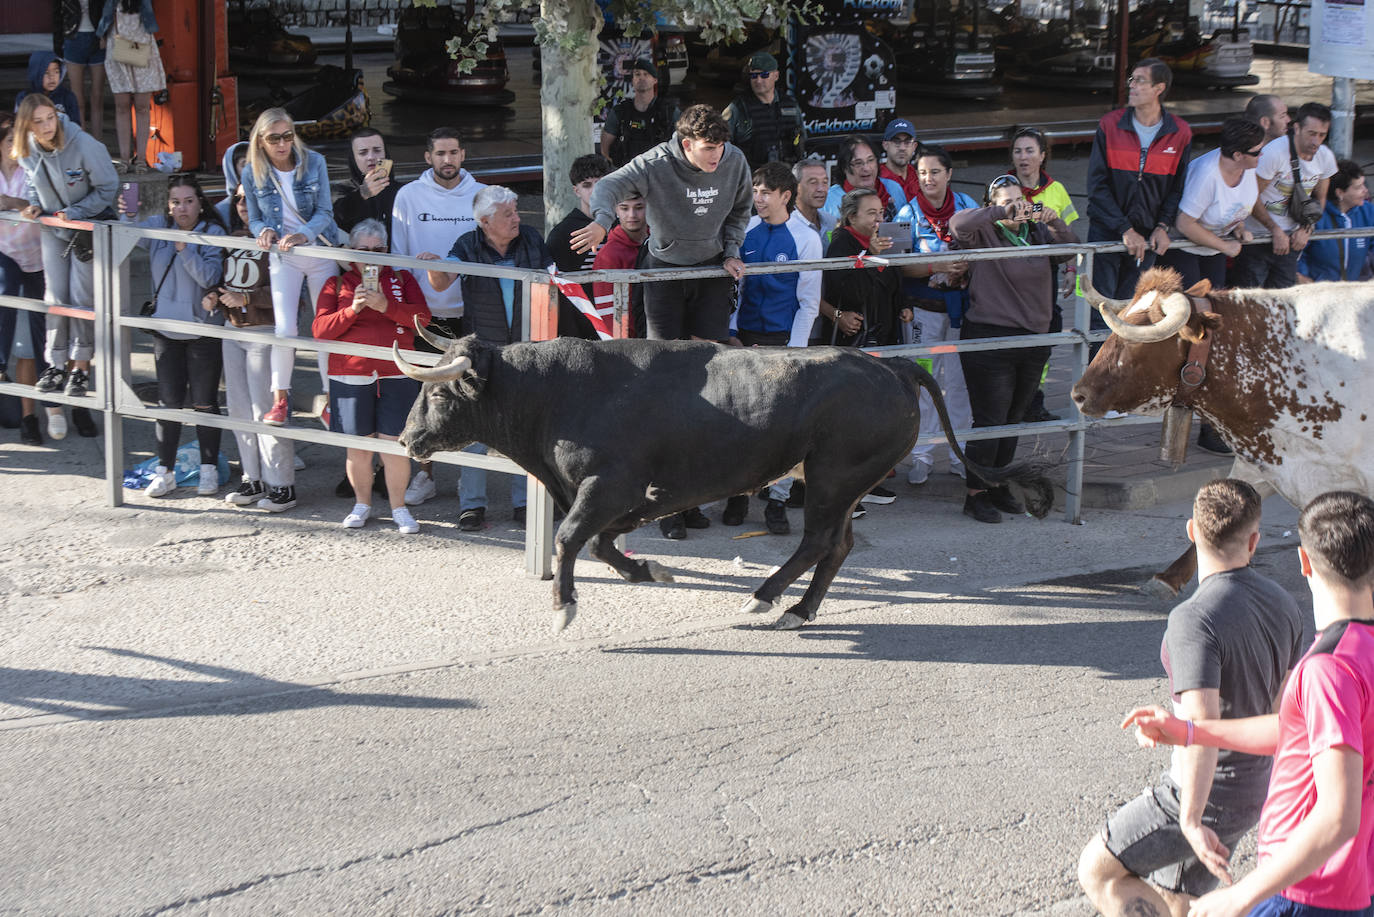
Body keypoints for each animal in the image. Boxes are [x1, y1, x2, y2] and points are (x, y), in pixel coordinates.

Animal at [395, 335, 1049, 632]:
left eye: (438, 394)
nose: (406, 440)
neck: (562, 392)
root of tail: (891, 365)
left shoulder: (608, 488)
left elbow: (569, 540)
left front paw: (564, 607)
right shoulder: (618, 498)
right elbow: (603, 545)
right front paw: (650, 570)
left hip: (834, 476)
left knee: (819, 541)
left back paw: (764, 596)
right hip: (841, 482)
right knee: (838, 545)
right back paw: (798, 610)